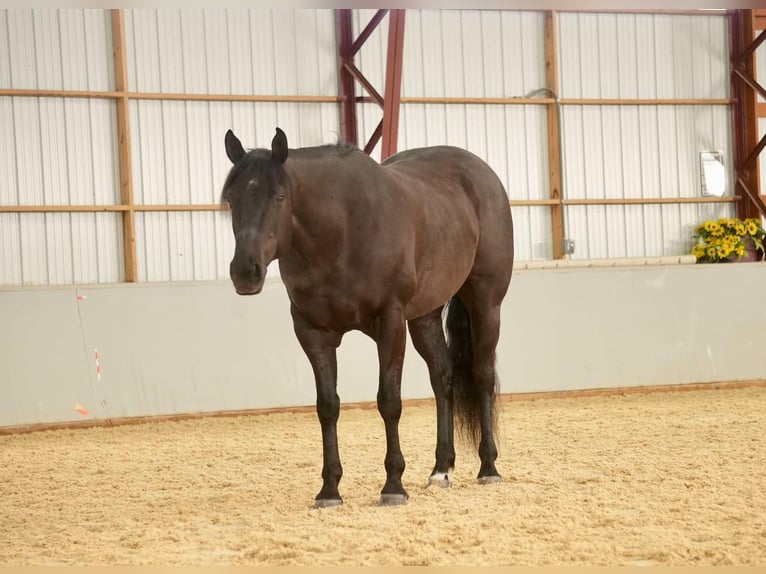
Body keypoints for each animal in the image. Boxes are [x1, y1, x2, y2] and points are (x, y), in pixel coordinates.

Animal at [219, 127, 512, 508]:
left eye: (280, 196)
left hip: (486, 303)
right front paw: (330, 489)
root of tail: (483, 175)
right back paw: (441, 470)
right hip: (425, 318)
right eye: (232, 199)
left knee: (482, 375)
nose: (245, 272)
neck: (340, 232)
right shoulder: (312, 332)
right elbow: (327, 406)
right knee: (442, 377)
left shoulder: (390, 323)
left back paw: (488, 467)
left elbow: (389, 401)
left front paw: (393, 485)